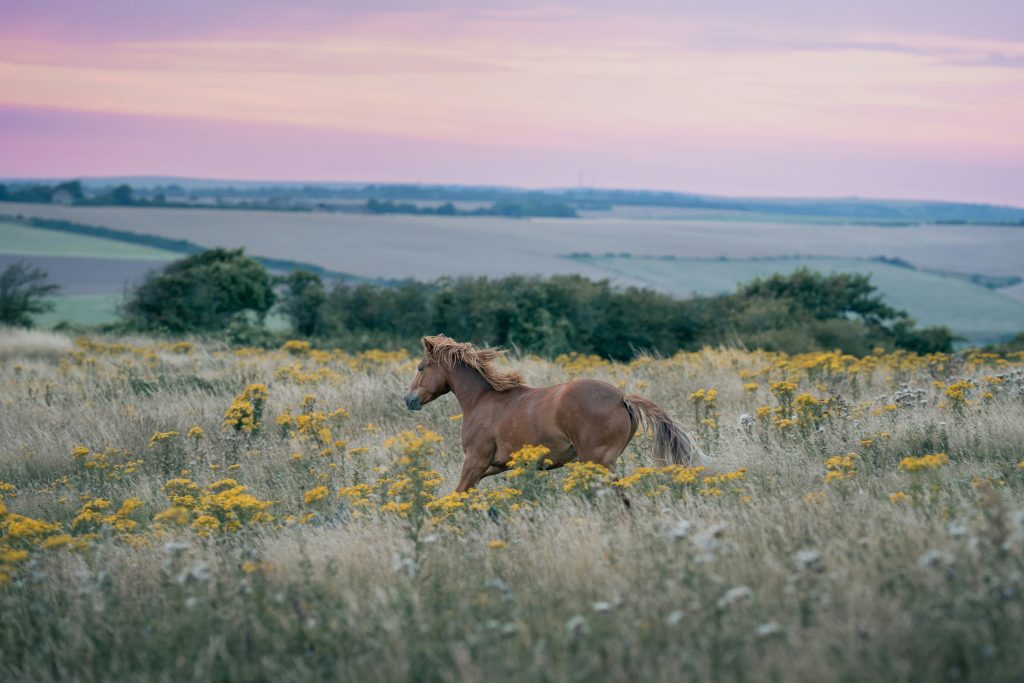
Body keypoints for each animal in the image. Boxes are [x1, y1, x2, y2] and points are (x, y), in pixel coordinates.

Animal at [399, 335, 704, 491]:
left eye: (421, 367)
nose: (408, 399)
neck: (483, 400)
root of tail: (622, 397)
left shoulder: (475, 460)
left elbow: (460, 492)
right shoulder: (496, 464)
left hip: (598, 461)